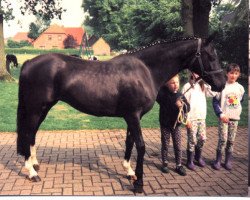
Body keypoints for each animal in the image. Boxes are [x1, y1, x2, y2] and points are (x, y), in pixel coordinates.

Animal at [16, 36, 226, 193]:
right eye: (210, 55)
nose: (222, 83)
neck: (146, 70)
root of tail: (29, 62)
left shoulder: (133, 117)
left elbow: (129, 142)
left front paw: (129, 172)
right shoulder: (132, 115)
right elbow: (140, 146)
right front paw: (139, 184)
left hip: (43, 108)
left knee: (32, 134)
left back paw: (34, 164)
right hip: (36, 108)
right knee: (27, 133)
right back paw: (32, 172)